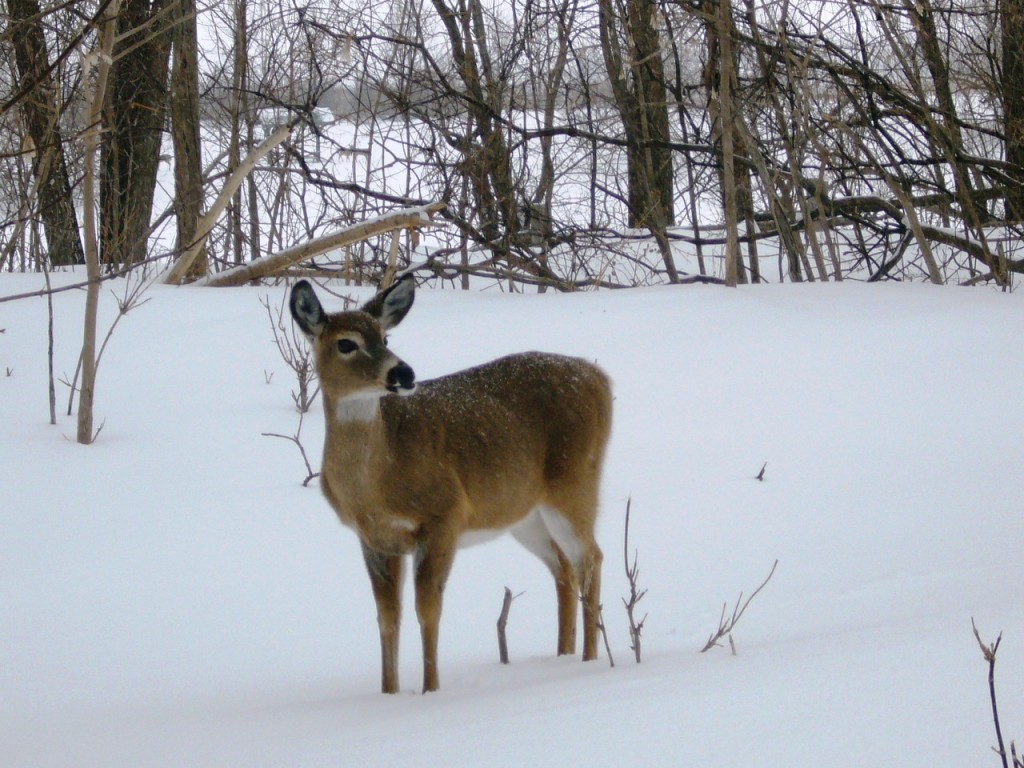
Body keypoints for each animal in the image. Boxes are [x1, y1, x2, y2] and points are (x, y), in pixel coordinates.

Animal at [286, 278, 606, 696]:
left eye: (385, 336)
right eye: (346, 343)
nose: (404, 373)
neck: (377, 483)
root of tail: (599, 377)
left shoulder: (444, 514)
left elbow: (428, 609)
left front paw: (430, 691)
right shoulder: (374, 537)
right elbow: (387, 616)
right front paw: (389, 693)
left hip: (575, 481)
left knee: (591, 558)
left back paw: (589, 661)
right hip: (523, 512)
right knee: (563, 567)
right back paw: (564, 655)